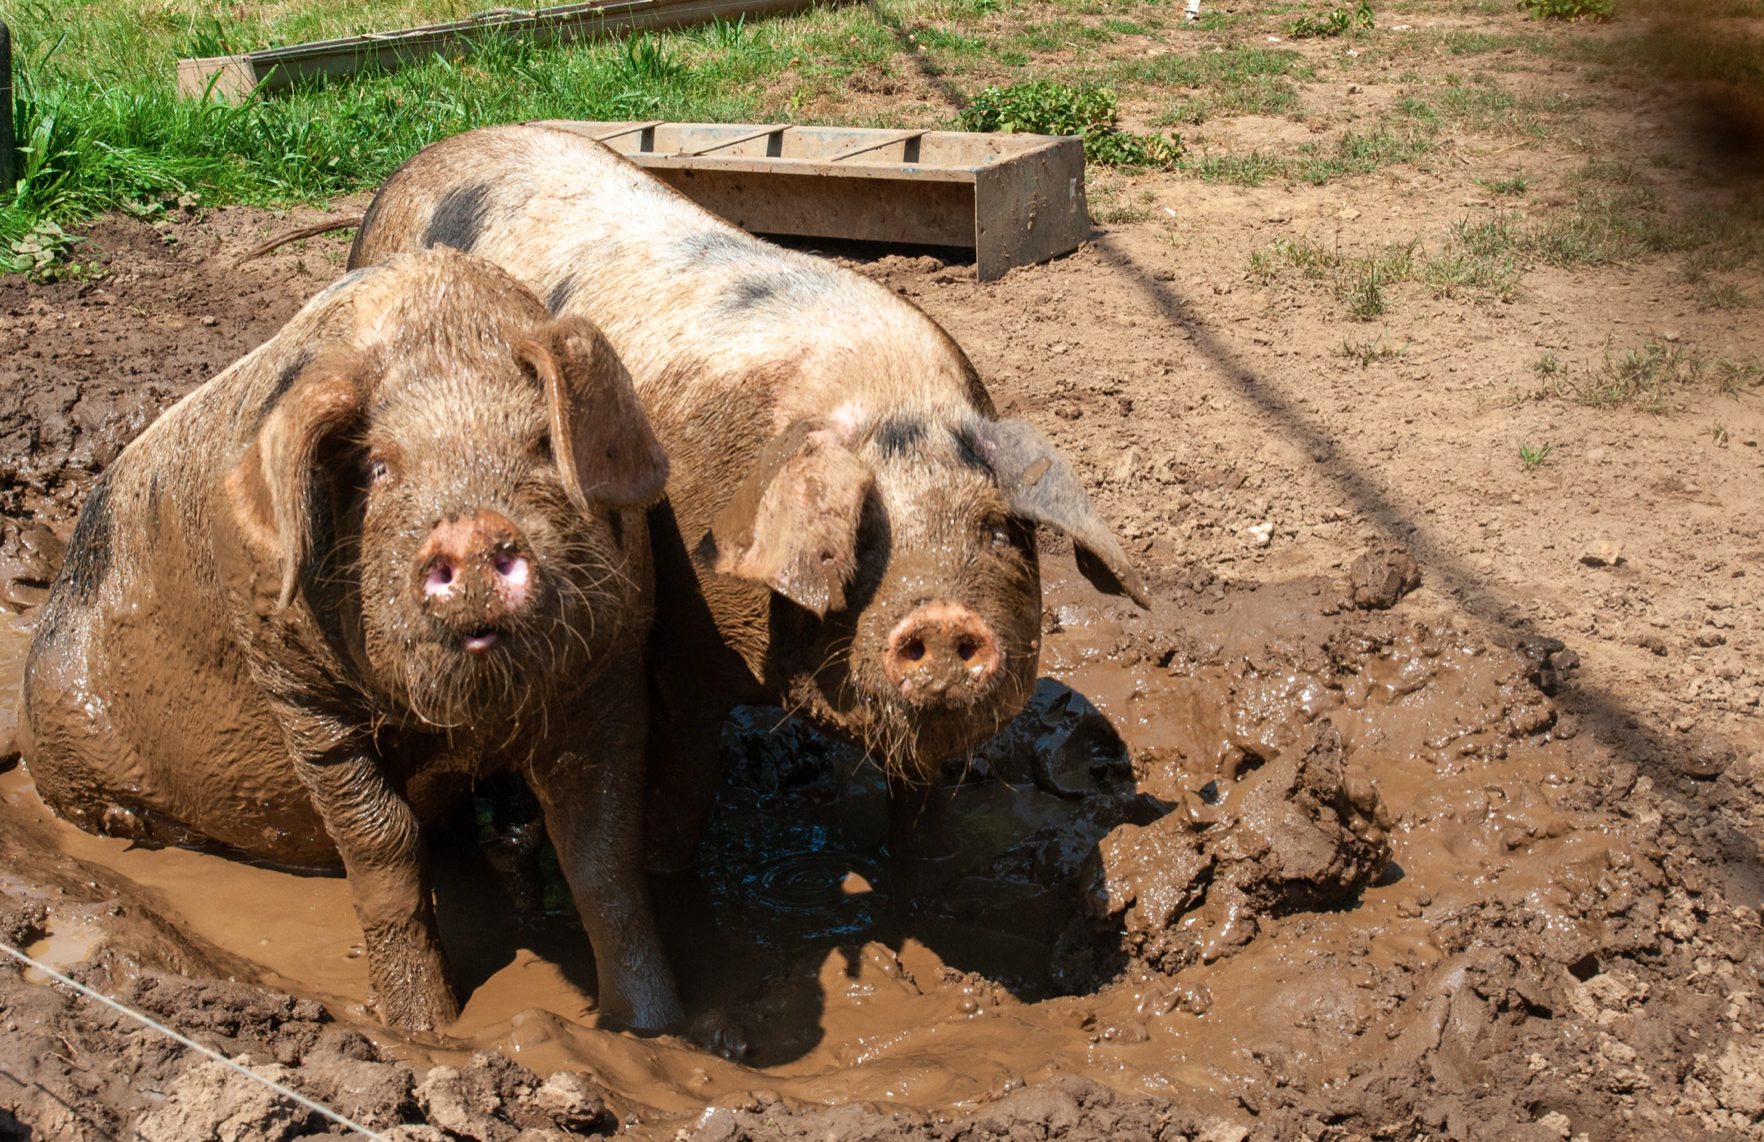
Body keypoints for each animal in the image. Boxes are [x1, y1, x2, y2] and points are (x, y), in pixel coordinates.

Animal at [22, 250, 680, 1037]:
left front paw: (654, 1031)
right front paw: (424, 1032)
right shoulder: (294, 687)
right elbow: (381, 845)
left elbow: (603, 856)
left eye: (541, 445)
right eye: (378, 468)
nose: (469, 531)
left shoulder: (613, 666)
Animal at [349, 122, 1150, 868]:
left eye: (997, 531)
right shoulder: (683, 644)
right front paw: (672, 877)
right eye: (862, 540)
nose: (945, 617)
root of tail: (420, 161)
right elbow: (681, 788)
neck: (890, 398)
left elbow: (917, 807)